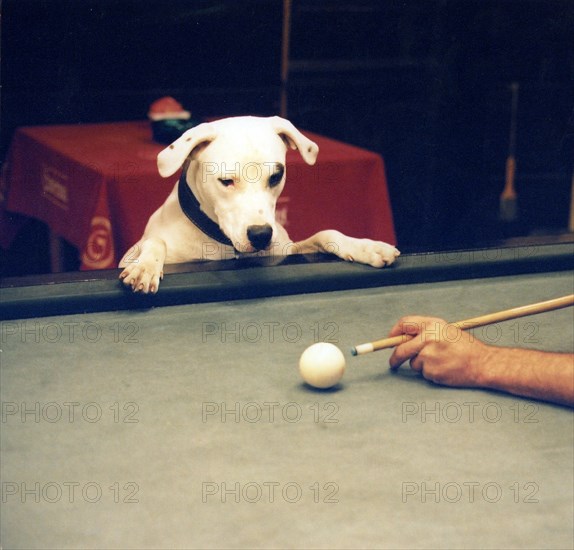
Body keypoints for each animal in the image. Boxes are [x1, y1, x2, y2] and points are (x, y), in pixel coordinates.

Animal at [120, 116, 400, 294]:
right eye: (226, 181)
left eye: (276, 176)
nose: (261, 235)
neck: (223, 245)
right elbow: (156, 242)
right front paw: (145, 266)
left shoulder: (286, 250)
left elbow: (326, 233)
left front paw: (366, 247)